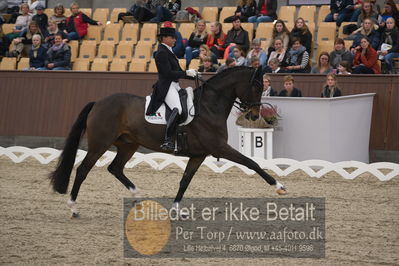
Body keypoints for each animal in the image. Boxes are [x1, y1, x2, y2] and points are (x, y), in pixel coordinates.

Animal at [49, 66, 288, 216]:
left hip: (129, 144)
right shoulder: (219, 147)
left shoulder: (199, 155)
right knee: (83, 170)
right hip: (100, 144)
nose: (254, 116)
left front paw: (176, 209)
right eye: (257, 86)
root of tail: (98, 102)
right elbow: (252, 163)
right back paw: (73, 208)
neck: (209, 106)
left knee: (115, 168)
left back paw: (138, 198)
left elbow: (184, 181)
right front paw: (279, 187)